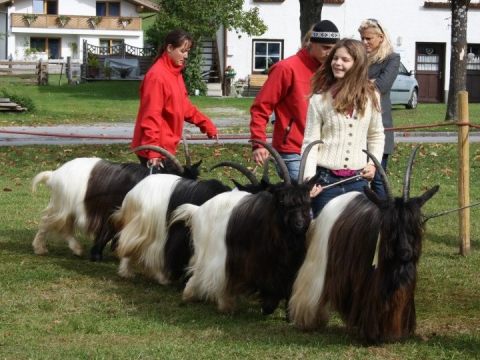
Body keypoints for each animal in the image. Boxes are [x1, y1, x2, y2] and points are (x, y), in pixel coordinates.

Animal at [31, 146, 199, 262]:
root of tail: (54, 175)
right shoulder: (111, 213)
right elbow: (108, 233)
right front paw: (96, 255)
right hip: (63, 204)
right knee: (50, 222)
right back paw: (47, 248)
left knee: (59, 224)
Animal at [171, 139, 320, 316]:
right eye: (282, 200)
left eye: (307, 200)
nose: (300, 223)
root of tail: (198, 210)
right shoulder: (261, 263)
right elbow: (269, 286)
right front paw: (268, 306)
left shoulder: (290, 265)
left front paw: (288, 314)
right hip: (212, 251)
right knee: (204, 271)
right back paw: (204, 299)